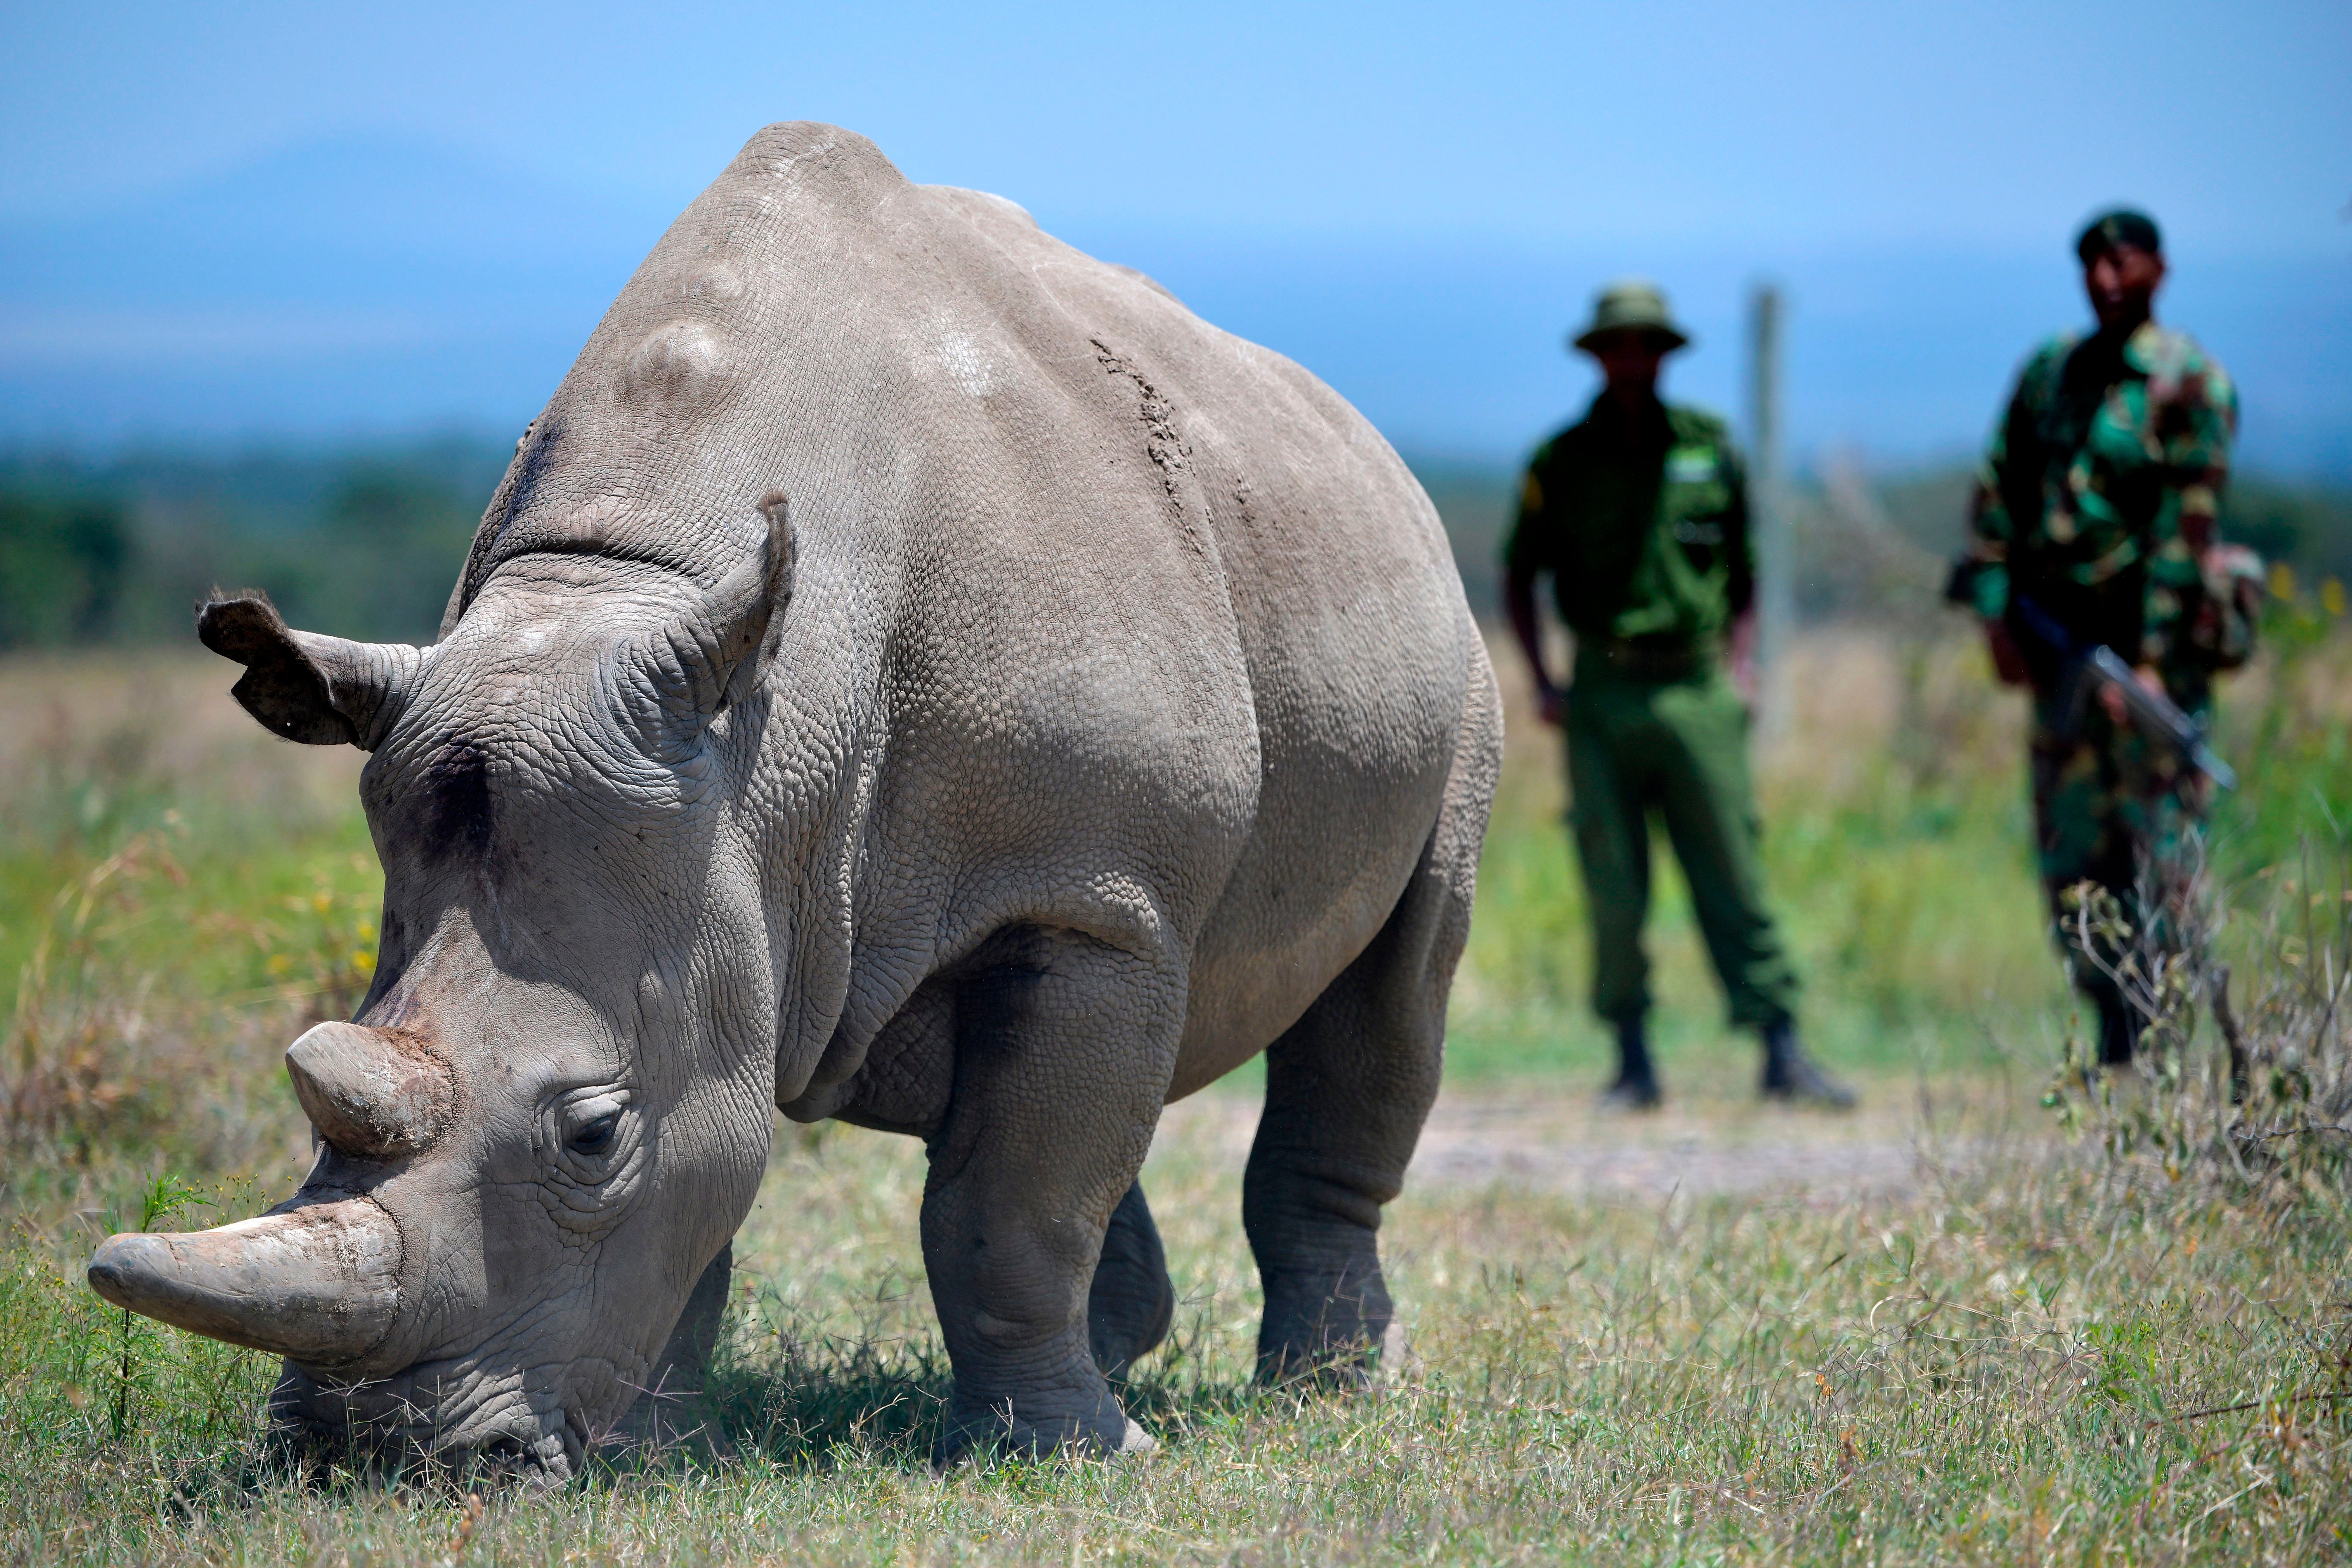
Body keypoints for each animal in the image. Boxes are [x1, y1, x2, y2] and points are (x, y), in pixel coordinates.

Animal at [92, 125, 1496, 1485]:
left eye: (591, 1135)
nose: (371, 1455)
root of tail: (1368, 445)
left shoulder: (1086, 895)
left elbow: (1012, 1207)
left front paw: (1069, 1460)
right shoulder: (719, 857)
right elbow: (729, 1171)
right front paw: (658, 1456)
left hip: (1449, 661)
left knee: (1393, 985)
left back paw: (1330, 1390)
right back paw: (1128, 1350)